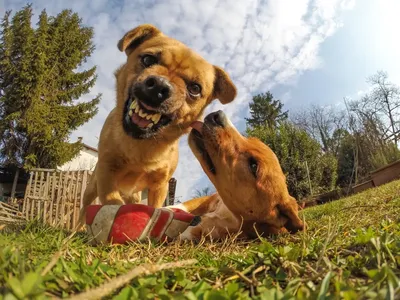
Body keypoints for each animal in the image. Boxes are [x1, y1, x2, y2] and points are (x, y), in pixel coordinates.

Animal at [78, 25, 238, 227]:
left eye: (195, 89)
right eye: (148, 59)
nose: (160, 86)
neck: (142, 145)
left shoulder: (159, 186)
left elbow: (153, 208)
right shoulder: (107, 173)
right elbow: (111, 199)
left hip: (135, 195)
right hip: (91, 188)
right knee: (83, 211)